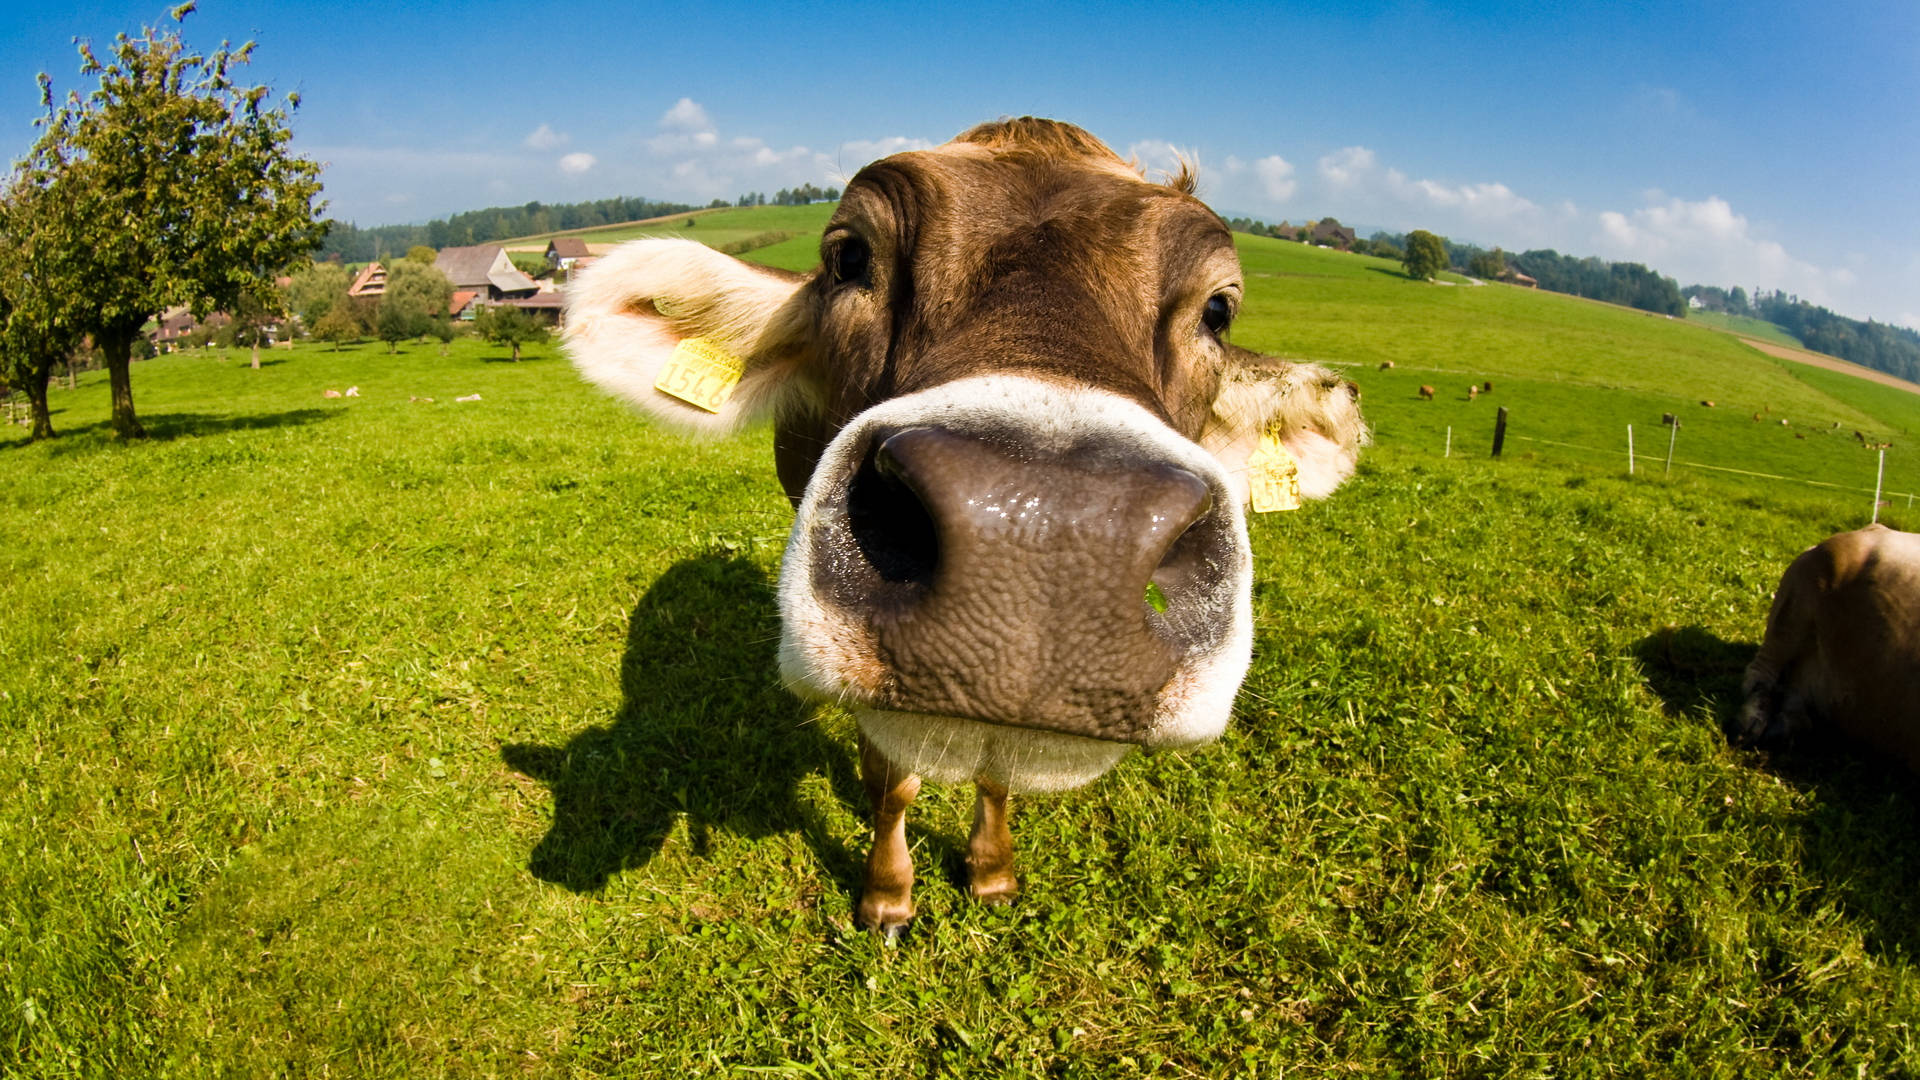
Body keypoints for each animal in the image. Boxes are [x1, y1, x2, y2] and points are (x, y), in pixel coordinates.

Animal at [560, 115, 1374, 926]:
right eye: (849, 256)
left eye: (1218, 309)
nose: (1048, 532)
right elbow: (892, 780)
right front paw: (887, 893)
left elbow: (995, 775)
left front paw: (991, 872)